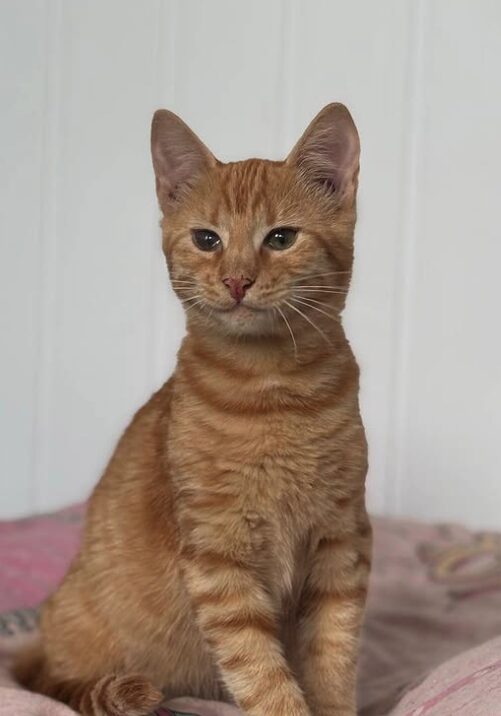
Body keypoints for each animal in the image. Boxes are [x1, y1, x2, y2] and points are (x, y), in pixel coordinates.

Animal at [13, 102, 372, 716]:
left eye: (281, 237)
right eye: (207, 239)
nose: (236, 279)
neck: (275, 392)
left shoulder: (340, 543)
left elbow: (333, 657)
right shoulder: (219, 556)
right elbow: (261, 671)